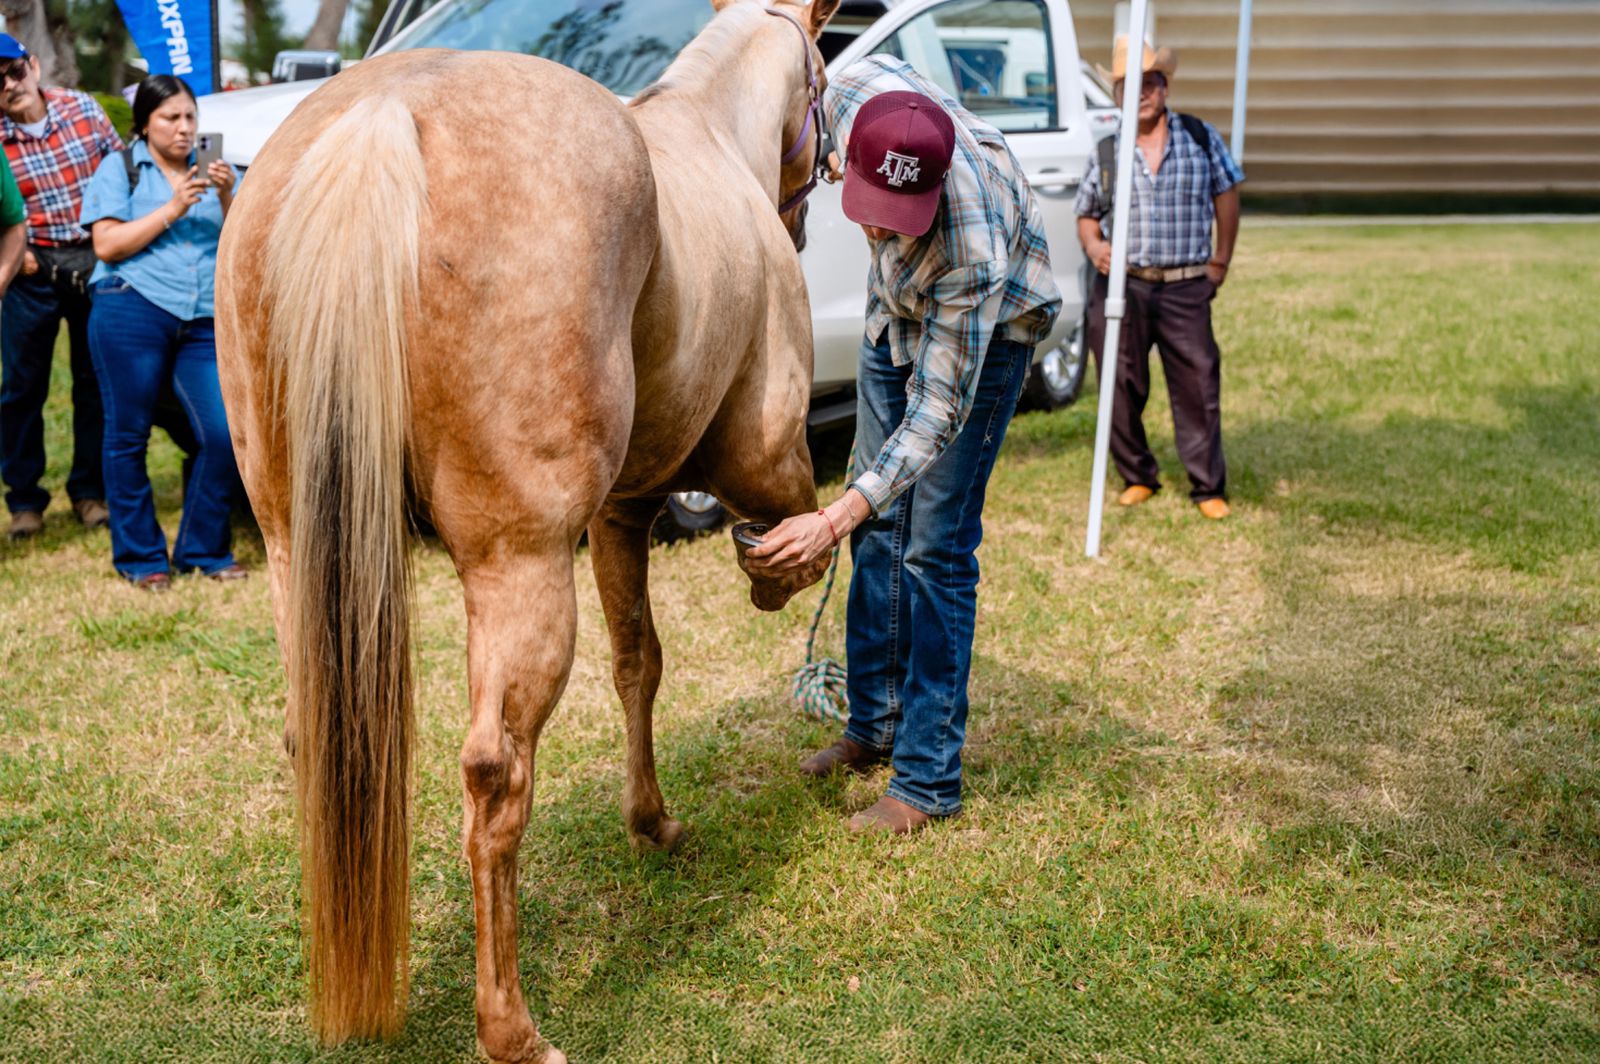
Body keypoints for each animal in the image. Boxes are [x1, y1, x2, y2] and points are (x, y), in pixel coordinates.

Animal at [213, 1, 842, 1060]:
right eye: (828, 84)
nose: (802, 222)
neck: (709, 130)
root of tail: (380, 117)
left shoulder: (624, 513)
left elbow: (640, 665)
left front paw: (652, 822)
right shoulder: (765, 462)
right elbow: (803, 537)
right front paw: (771, 577)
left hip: (299, 559)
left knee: (315, 738)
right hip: (522, 566)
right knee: (496, 776)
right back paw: (511, 1028)